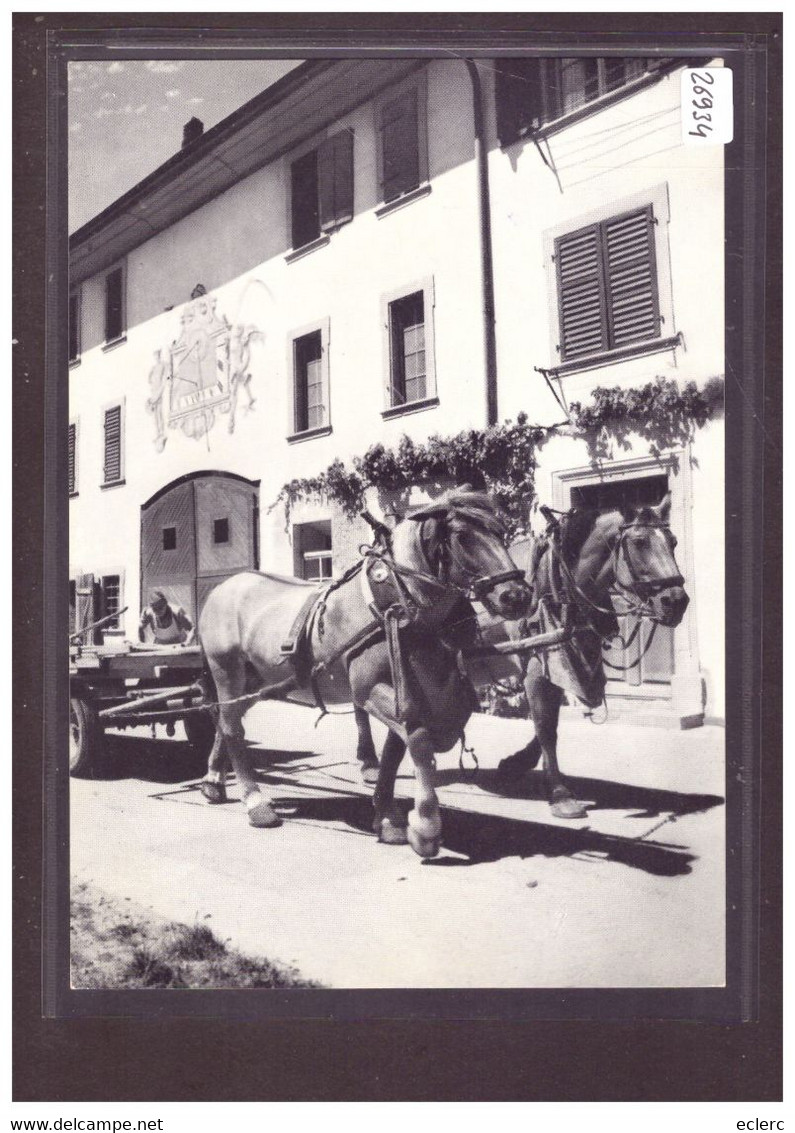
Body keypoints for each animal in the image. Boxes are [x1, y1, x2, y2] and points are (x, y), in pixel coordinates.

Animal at [198, 489, 532, 856]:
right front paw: (425, 826)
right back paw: (255, 802)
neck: (398, 602)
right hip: (226, 669)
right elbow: (419, 742)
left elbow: (394, 752)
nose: (517, 596)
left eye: (501, 531)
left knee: (226, 719)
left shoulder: (408, 690)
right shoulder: (370, 689)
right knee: (233, 728)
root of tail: (225, 586)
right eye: (462, 536)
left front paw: (386, 816)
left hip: (259, 680)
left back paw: (213, 780)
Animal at [355, 498, 693, 824]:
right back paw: (369, 762)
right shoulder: (536, 669)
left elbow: (550, 721)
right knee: (360, 703)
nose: (676, 601)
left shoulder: (563, 661)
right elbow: (546, 727)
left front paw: (518, 763)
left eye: (674, 541)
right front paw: (560, 793)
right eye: (639, 543)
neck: (556, 582)